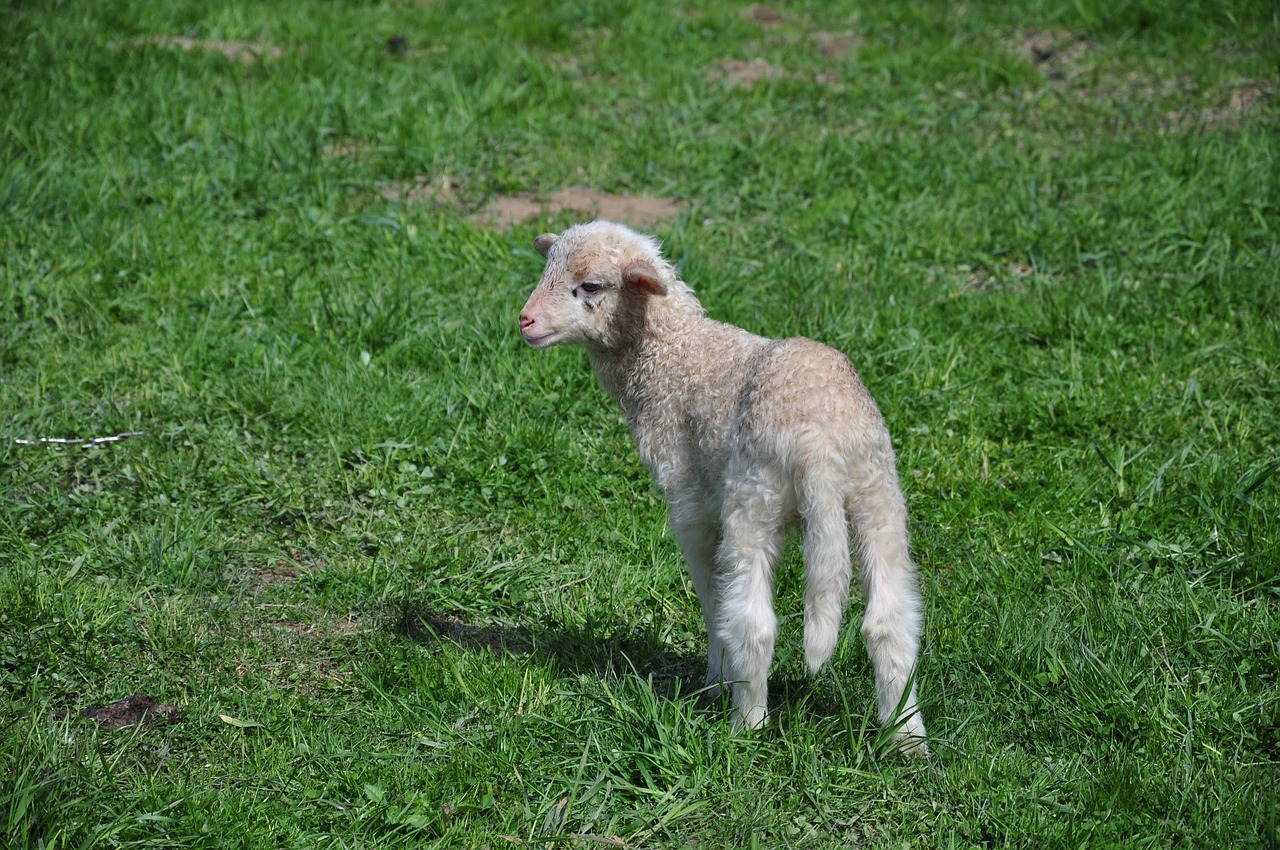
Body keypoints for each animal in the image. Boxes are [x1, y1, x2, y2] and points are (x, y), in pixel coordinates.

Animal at [519, 220, 931, 757]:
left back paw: (746, 727)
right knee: (891, 622)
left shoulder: (691, 502)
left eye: (590, 286)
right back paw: (906, 738)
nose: (524, 321)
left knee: (754, 624)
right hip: (877, 492)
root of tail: (819, 439)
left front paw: (714, 679)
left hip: (753, 499)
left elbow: (712, 598)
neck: (674, 356)